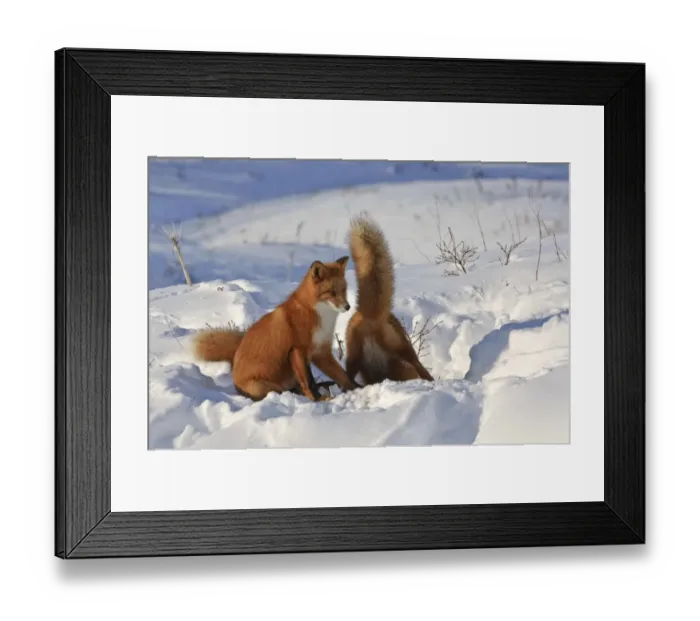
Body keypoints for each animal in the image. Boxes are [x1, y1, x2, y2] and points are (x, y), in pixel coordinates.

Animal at [191, 256, 361, 402]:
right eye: (332, 292)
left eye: (344, 290)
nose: (348, 307)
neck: (319, 316)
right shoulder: (298, 350)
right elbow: (308, 381)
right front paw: (317, 399)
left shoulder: (321, 352)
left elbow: (343, 376)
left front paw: (358, 388)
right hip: (263, 386)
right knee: (287, 390)